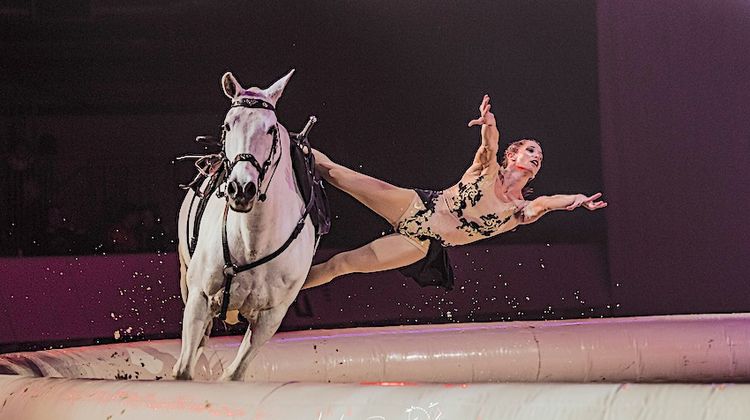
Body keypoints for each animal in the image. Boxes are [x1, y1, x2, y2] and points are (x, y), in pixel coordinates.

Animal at [174, 69, 318, 380]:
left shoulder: (270, 317)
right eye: (228, 125)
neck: (254, 239)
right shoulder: (199, 297)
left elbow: (234, 373)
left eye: (271, 129)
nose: (241, 189)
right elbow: (183, 370)